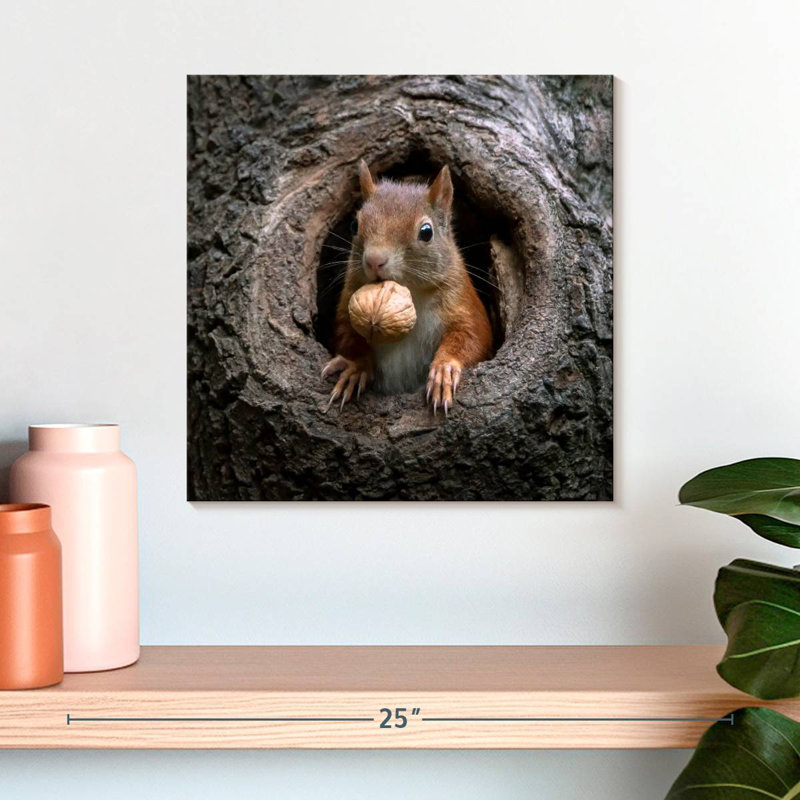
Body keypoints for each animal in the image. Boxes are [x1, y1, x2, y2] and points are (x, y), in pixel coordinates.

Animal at [322, 160, 493, 415]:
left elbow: (473, 336)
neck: (411, 292)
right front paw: (355, 367)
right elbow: (347, 336)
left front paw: (444, 370)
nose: (374, 260)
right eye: (354, 225)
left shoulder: (462, 301)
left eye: (426, 232)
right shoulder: (348, 300)